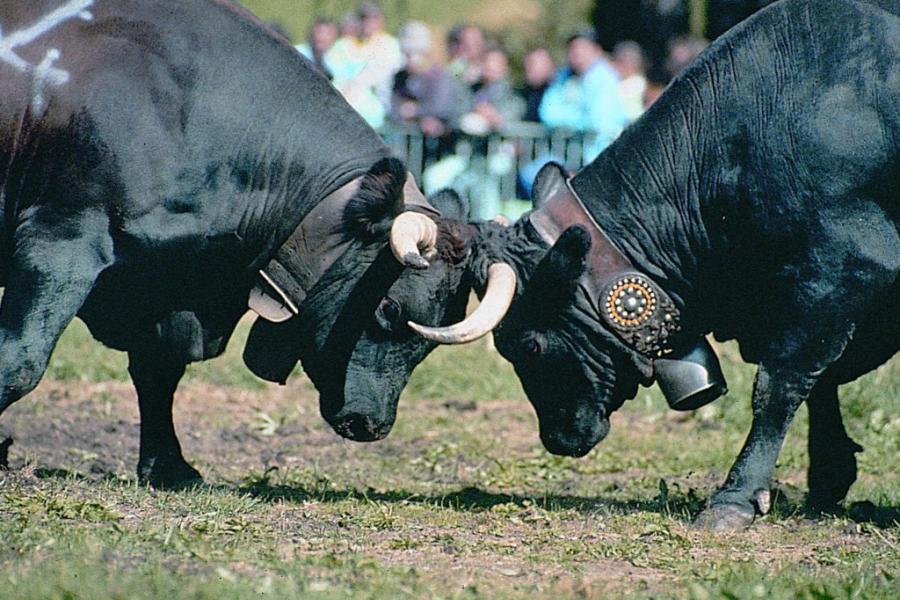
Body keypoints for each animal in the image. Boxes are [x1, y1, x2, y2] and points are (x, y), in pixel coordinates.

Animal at [0, 0, 516, 488]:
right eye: (388, 308)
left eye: (429, 339)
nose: (372, 424)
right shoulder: (60, 240)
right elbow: (21, 359)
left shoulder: (166, 286)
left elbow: (159, 370)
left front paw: (169, 466)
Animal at [356, 0, 896, 528]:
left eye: (526, 345)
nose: (555, 439)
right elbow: (821, 381)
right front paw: (827, 478)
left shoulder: (840, 268)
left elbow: (779, 385)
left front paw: (735, 497)